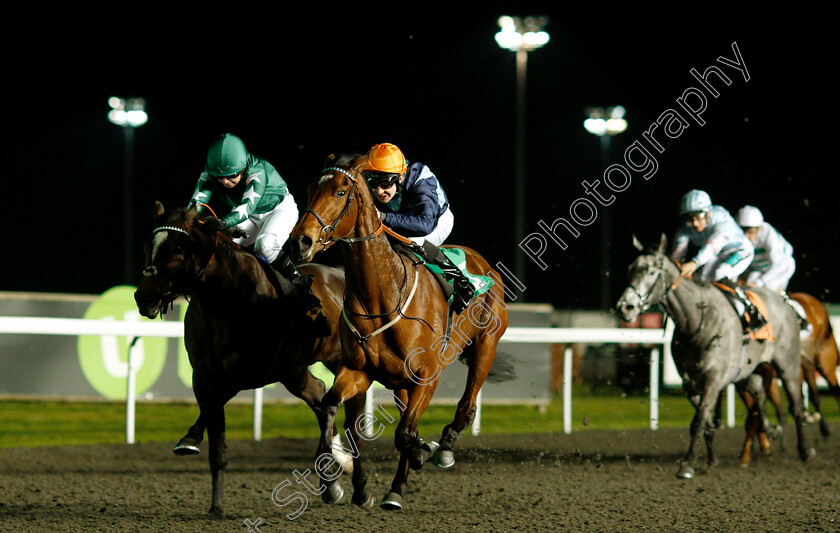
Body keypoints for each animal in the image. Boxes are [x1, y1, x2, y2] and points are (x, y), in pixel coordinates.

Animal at [134, 202, 358, 512]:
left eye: (177, 249)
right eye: (148, 244)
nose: (144, 297)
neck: (225, 296)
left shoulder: (251, 372)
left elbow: (216, 405)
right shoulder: (203, 375)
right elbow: (214, 433)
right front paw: (214, 502)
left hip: (336, 359)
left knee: (336, 401)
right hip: (293, 370)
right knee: (319, 394)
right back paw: (333, 476)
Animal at [288, 155, 512, 512]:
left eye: (340, 192)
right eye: (311, 188)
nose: (299, 242)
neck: (382, 294)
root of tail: (483, 264)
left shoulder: (427, 375)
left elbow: (405, 434)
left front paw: (424, 451)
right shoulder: (358, 371)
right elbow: (333, 410)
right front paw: (337, 485)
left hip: (484, 346)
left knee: (466, 405)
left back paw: (443, 448)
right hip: (400, 384)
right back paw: (396, 488)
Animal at [612, 235, 816, 476]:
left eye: (651, 271)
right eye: (630, 269)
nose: (625, 307)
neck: (697, 320)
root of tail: (786, 302)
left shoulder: (713, 380)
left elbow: (698, 421)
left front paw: (687, 465)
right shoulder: (690, 383)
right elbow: (707, 422)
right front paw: (711, 460)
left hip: (788, 366)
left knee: (796, 406)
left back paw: (805, 450)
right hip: (748, 370)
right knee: (759, 396)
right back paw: (771, 429)